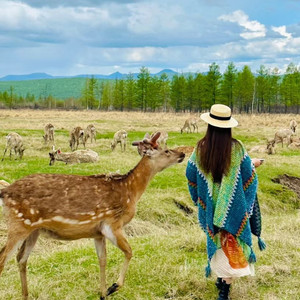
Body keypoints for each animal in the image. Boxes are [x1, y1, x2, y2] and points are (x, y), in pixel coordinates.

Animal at [0, 133, 185, 300]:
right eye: (166, 150)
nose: (182, 154)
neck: (130, 191)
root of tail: (5, 192)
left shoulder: (97, 232)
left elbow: (102, 259)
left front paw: (102, 293)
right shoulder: (112, 222)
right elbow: (129, 252)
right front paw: (113, 287)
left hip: (34, 230)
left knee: (21, 258)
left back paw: (25, 295)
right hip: (18, 224)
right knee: (3, 258)